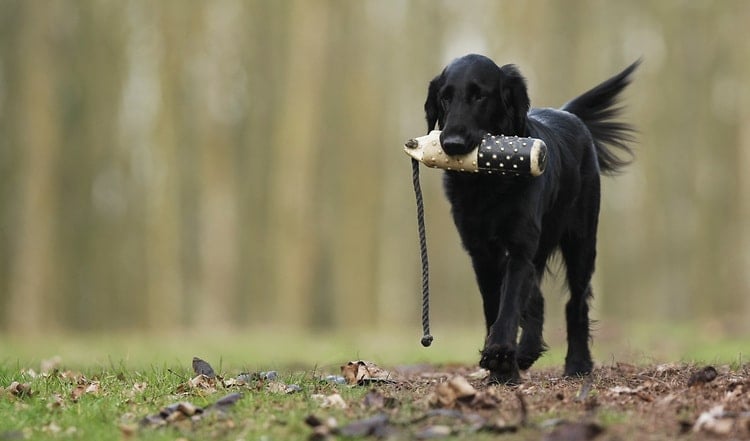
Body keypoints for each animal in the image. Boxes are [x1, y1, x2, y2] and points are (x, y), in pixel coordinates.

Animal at [426, 53, 636, 380]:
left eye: (479, 96)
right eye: (445, 98)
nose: (453, 144)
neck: (488, 182)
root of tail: (568, 114)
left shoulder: (520, 246)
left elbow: (510, 301)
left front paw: (500, 356)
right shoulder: (481, 251)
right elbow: (495, 304)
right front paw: (503, 367)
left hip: (581, 241)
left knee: (576, 303)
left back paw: (578, 364)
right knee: (536, 298)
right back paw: (526, 352)